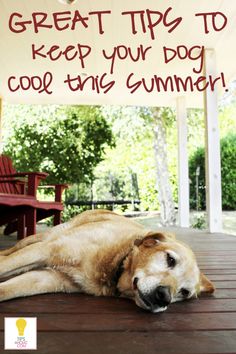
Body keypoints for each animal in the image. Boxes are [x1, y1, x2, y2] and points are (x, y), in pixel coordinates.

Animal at [0, 210, 214, 312]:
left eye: (184, 292)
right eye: (170, 259)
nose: (164, 298)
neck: (118, 260)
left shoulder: (47, 278)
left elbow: (7, 289)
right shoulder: (46, 250)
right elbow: (4, 265)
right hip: (40, 240)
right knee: (9, 252)